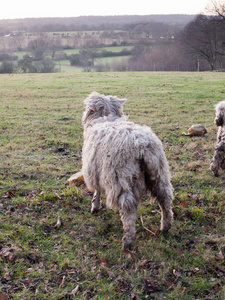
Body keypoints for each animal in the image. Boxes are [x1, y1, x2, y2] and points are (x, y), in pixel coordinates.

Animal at [81, 92, 173, 250]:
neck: (106, 118)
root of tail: (142, 145)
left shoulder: (95, 171)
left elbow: (97, 191)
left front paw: (95, 206)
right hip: (158, 173)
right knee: (165, 198)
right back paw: (165, 227)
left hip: (120, 178)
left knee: (128, 207)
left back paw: (128, 240)